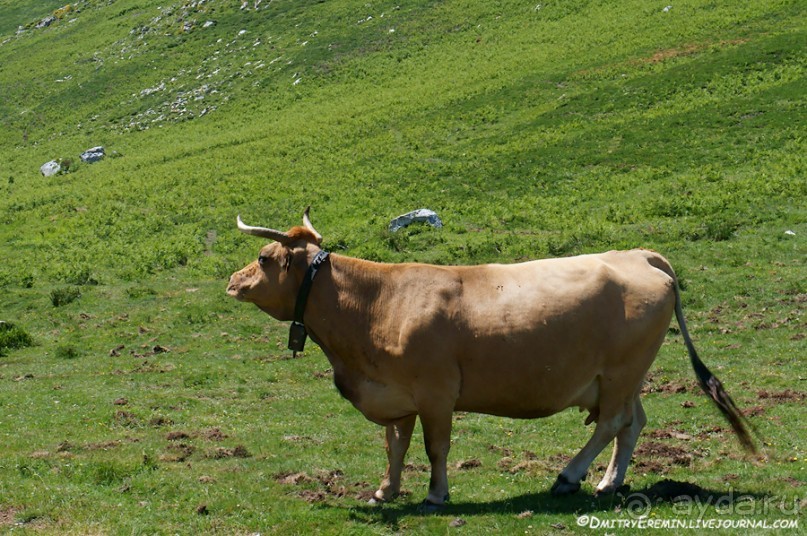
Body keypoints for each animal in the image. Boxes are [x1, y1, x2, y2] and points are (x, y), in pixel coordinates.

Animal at [227, 207, 756, 508]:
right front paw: (384, 492)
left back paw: (569, 477)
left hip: (622, 371)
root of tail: (640, 254)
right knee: (632, 423)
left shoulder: (436, 393)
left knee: (611, 423)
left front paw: (436, 495)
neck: (377, 304)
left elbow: (435, 448)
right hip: (624, 376)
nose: (232, 281)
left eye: (263, 258)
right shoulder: (394, 393)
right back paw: (609, 483)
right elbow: (395, 447)